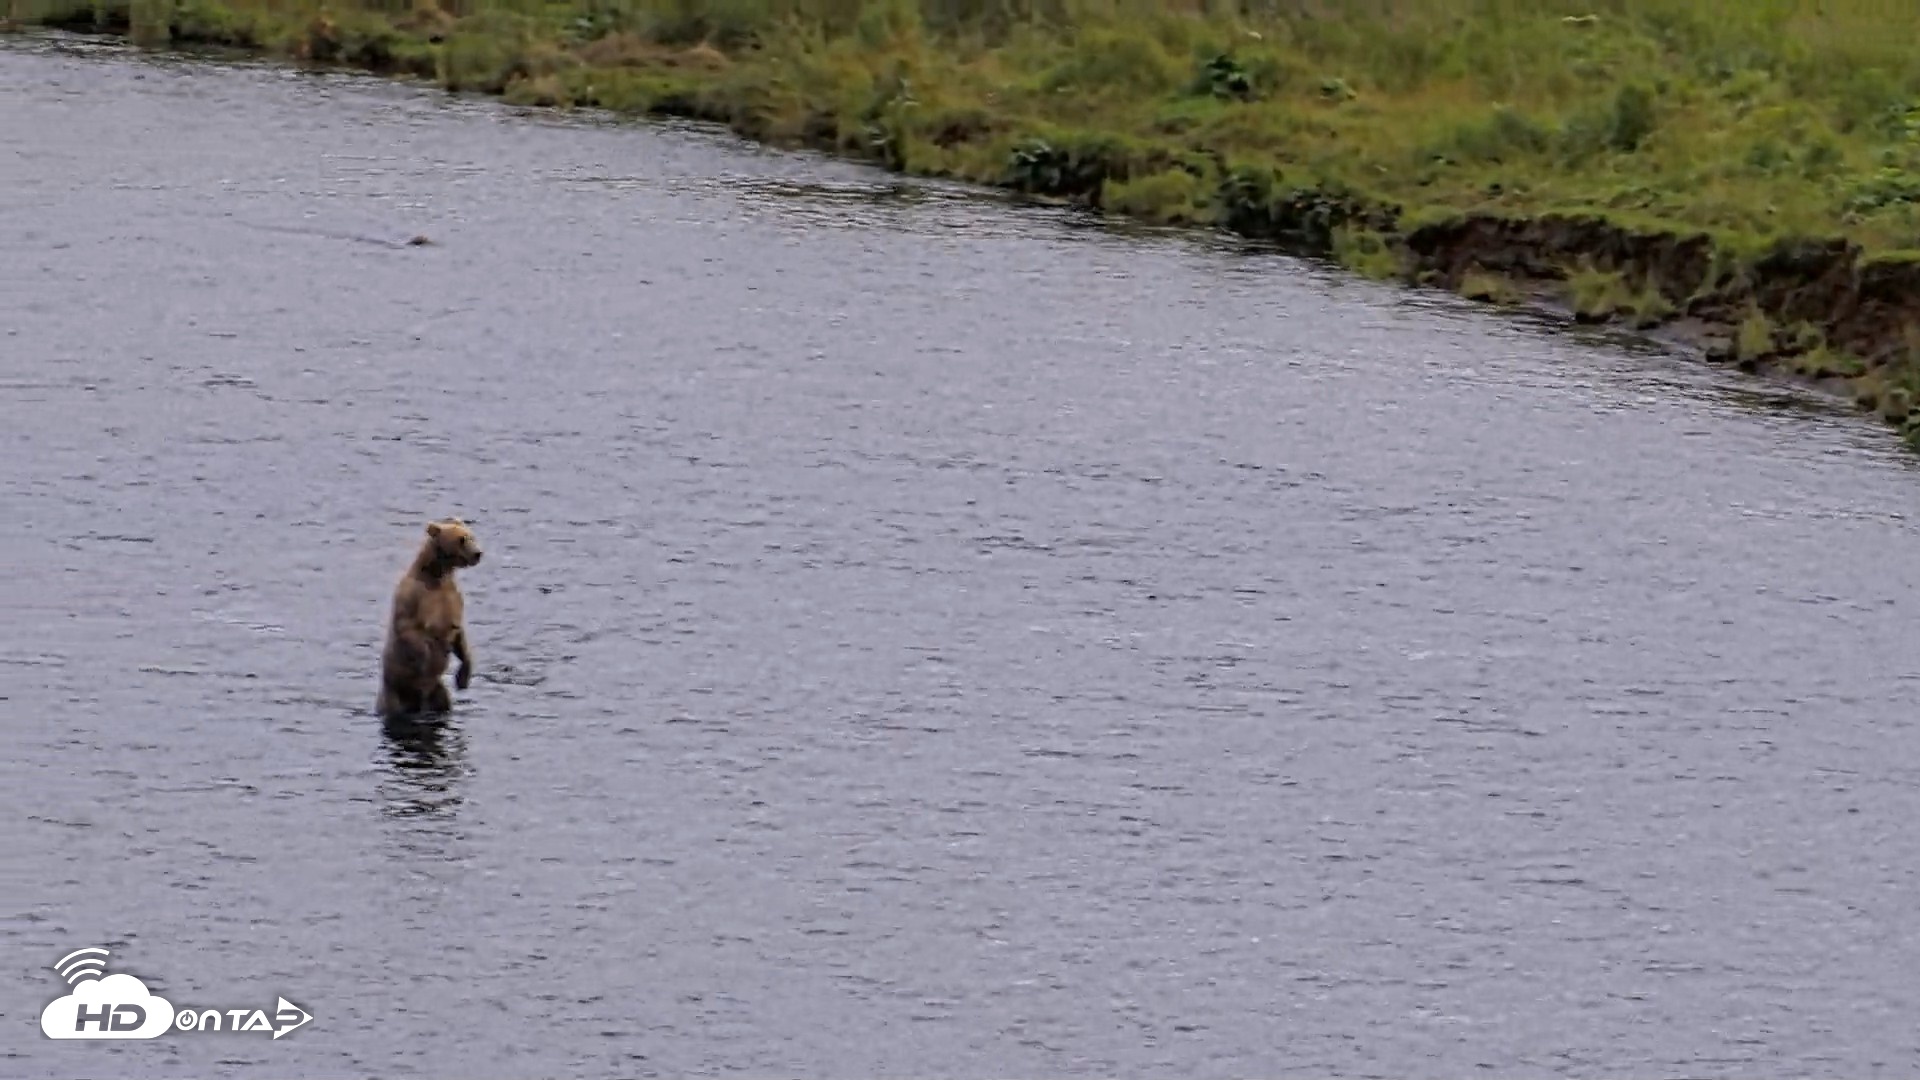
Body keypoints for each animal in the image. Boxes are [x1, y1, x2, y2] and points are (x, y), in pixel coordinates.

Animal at [376, 517, 483, 719]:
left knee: (443, 701)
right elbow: (409, 628)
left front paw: (463, 677)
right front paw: (425, 659)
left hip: (438, 692)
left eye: (472, 536)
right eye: (461, 539)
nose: (478, 553)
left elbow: (459, 633)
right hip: (393, 691)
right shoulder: (415, 596)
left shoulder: (452, 596)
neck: (436, 574)